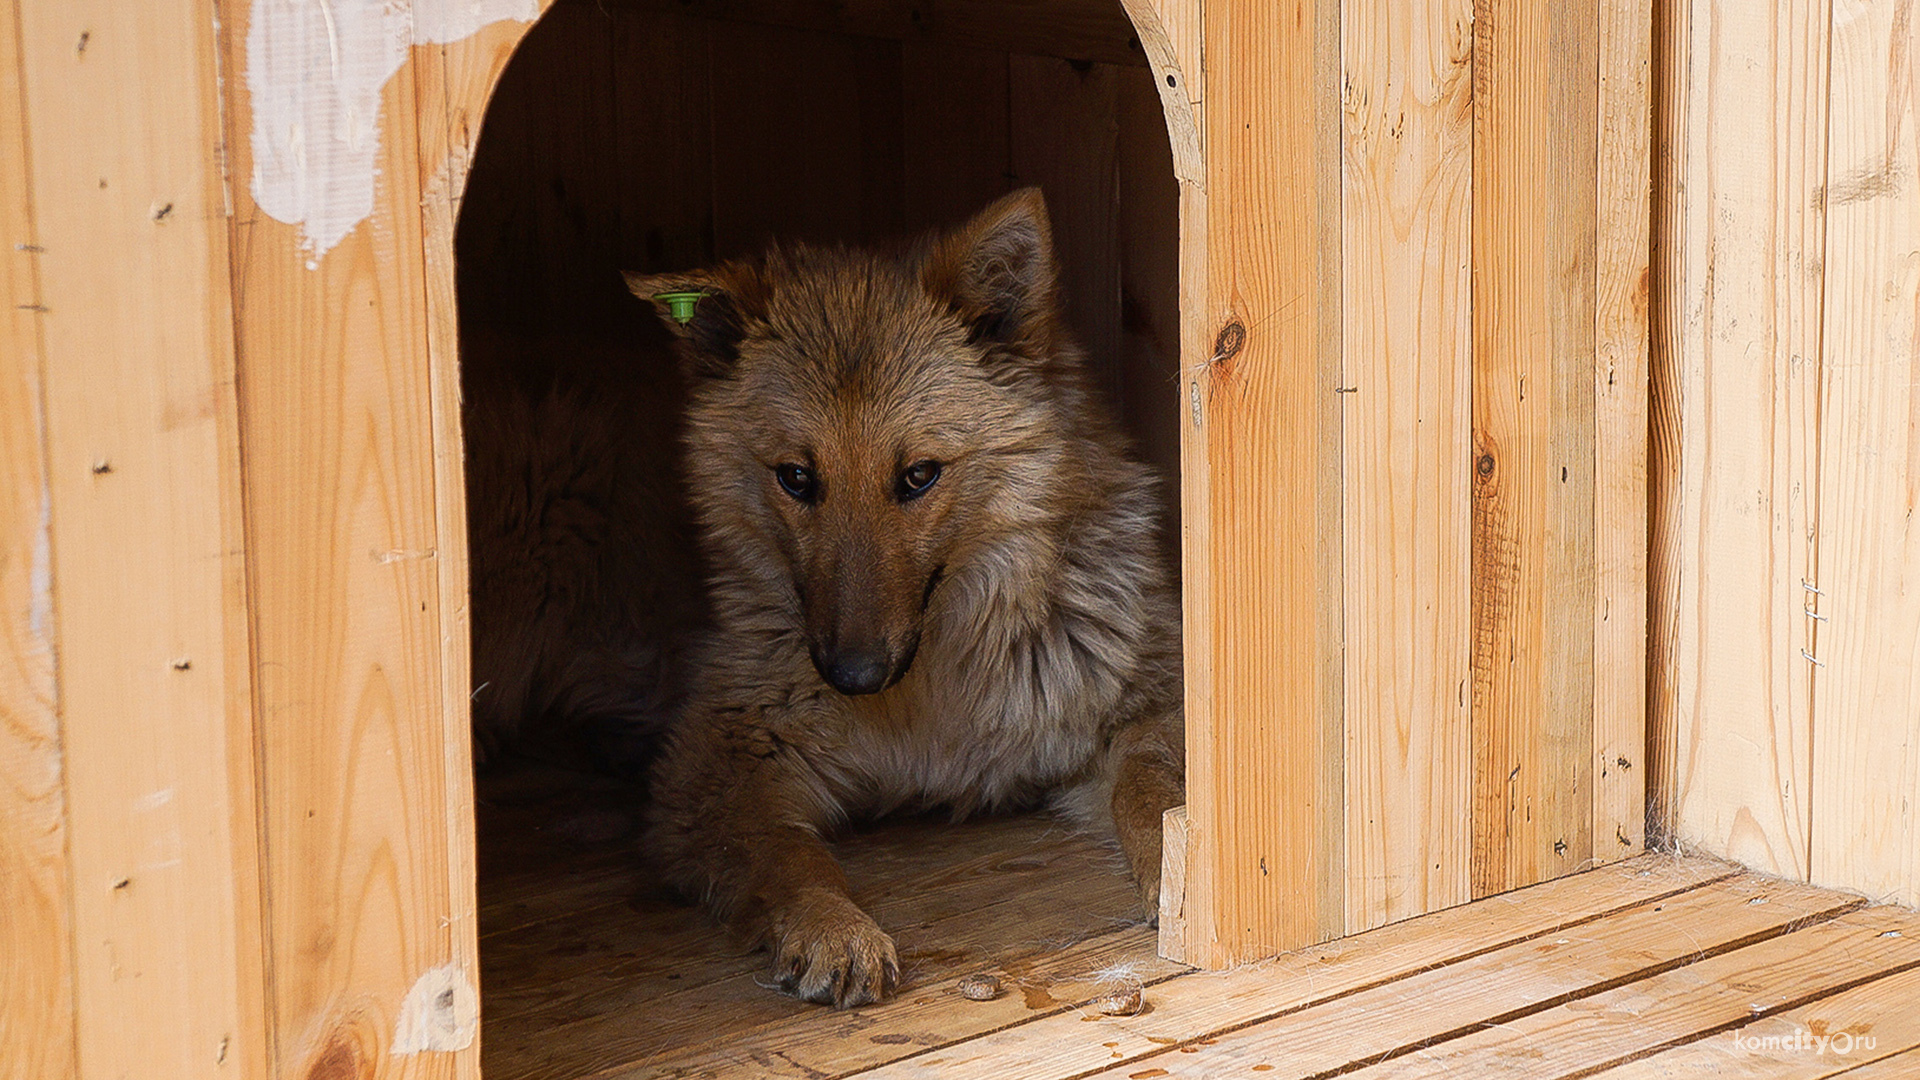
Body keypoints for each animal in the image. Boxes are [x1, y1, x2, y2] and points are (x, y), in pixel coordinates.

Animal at [629, 189, 1182, 1006]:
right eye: (797, 477)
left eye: (919, 475)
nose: (852, 676)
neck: (930, 704)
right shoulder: (714, 771)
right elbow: (789, 854)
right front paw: (831, 928)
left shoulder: (1139, 709)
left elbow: (1151, 789)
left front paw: (1182, 875)